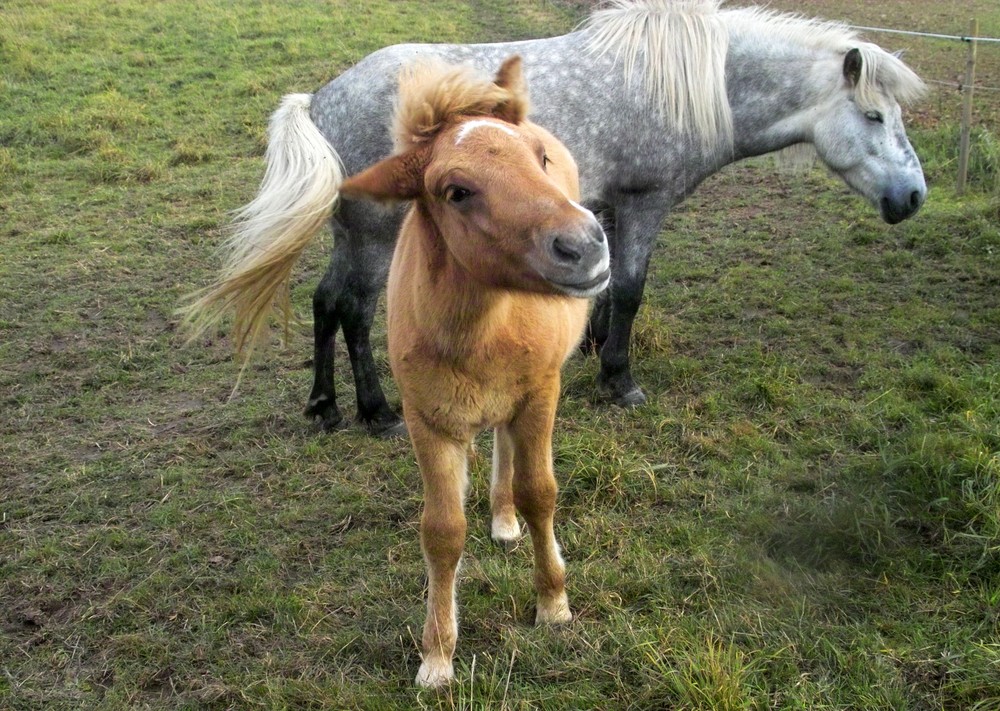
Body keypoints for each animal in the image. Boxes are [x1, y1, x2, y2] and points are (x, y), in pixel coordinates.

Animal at [184, 0, 924, 436]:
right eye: (874, 116)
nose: (914, 197)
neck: (687, 84)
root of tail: (323, 98)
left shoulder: (606, 204)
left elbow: (607, 285)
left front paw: (593, 349)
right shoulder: (646, 201)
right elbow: (631, 289)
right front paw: (621, 379)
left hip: (350, 234)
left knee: (325, 301)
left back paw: (326, 407)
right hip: (374, 236)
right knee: (355, 311)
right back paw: (376, 413)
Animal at [340, 58, 608, 688]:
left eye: (538, 159)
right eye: (456, 192)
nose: (585, 245)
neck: (482, 329)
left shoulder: (541, 393)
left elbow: (541, 492)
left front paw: (553, 603)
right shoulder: (428, 420)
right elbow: (442, 532)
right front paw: (436, 655)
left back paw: (508, 521)